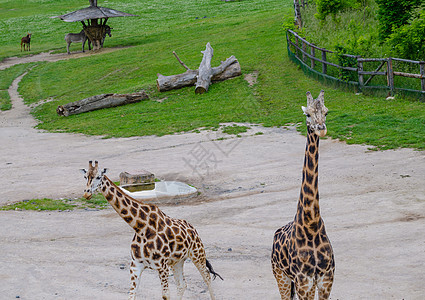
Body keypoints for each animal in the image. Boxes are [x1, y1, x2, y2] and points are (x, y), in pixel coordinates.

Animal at [80, 159, 224, 298]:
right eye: (85, 176)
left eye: (99, 177)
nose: (87, 194)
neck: (140, 227)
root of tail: (192, 228)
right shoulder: (135, 265)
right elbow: (132, 294)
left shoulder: (162, 266)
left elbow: (165, 295)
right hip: (177, 261)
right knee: (182, 285)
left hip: (197, 253)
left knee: (206, 277)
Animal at [272, 89, 334, 300]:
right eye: (307, 114)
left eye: (326, 112)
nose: (321, 129)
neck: (311, 225)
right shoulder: (303, 284)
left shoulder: (325, 281)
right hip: (280, 276)